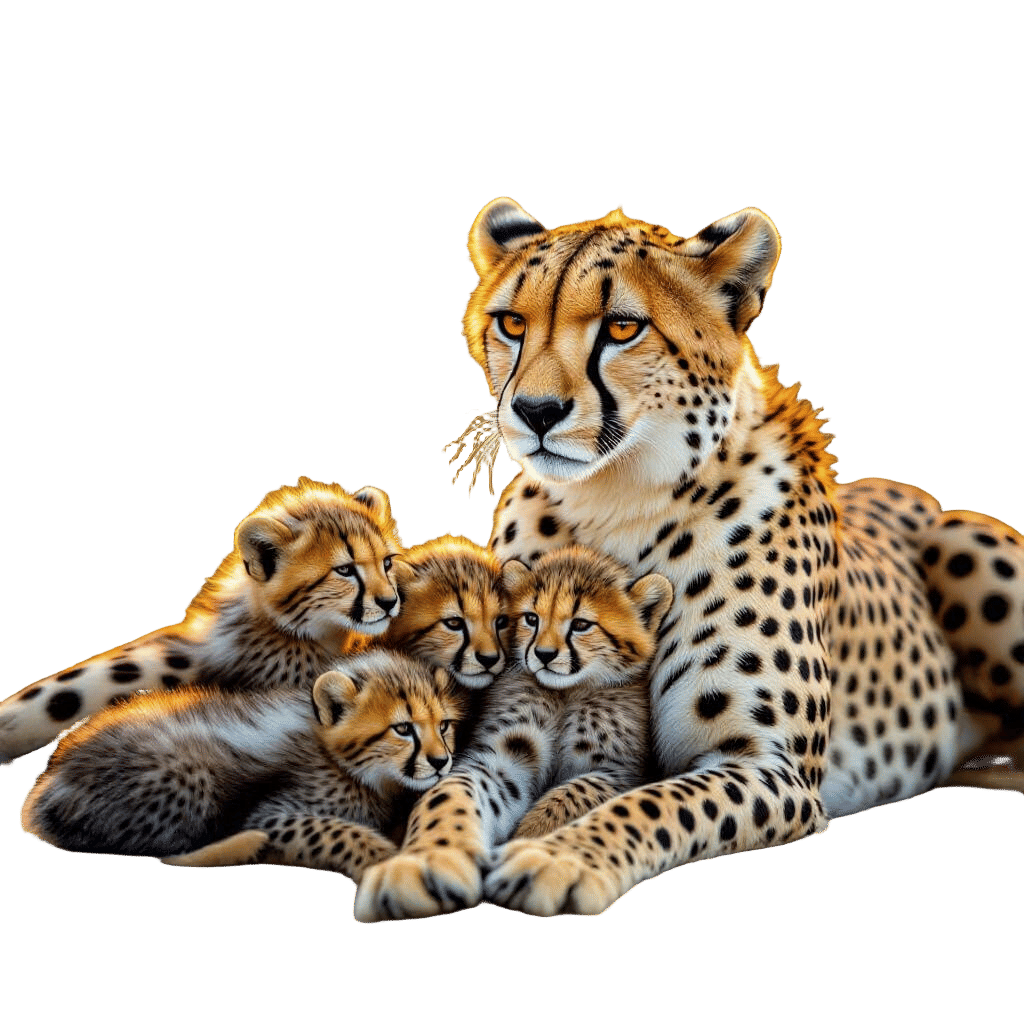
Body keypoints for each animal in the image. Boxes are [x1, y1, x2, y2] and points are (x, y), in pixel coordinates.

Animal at [20, 650, 465, 884]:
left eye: (443, 725)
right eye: (403, 728)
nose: (441, 761)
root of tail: (50, 780)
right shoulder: (270, 813)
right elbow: (335, 830)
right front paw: (387, 859)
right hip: (188, 776)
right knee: (168, 851)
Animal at [358, 197, 1024, 920]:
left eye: (622, 328)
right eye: (511, 323)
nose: (534, 411)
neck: (613, 503)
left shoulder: (767, 766)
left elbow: (652, 803)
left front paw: (559, 858)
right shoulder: (499, 746)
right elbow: (446, 792)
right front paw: (422, 860)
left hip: (961, 543)